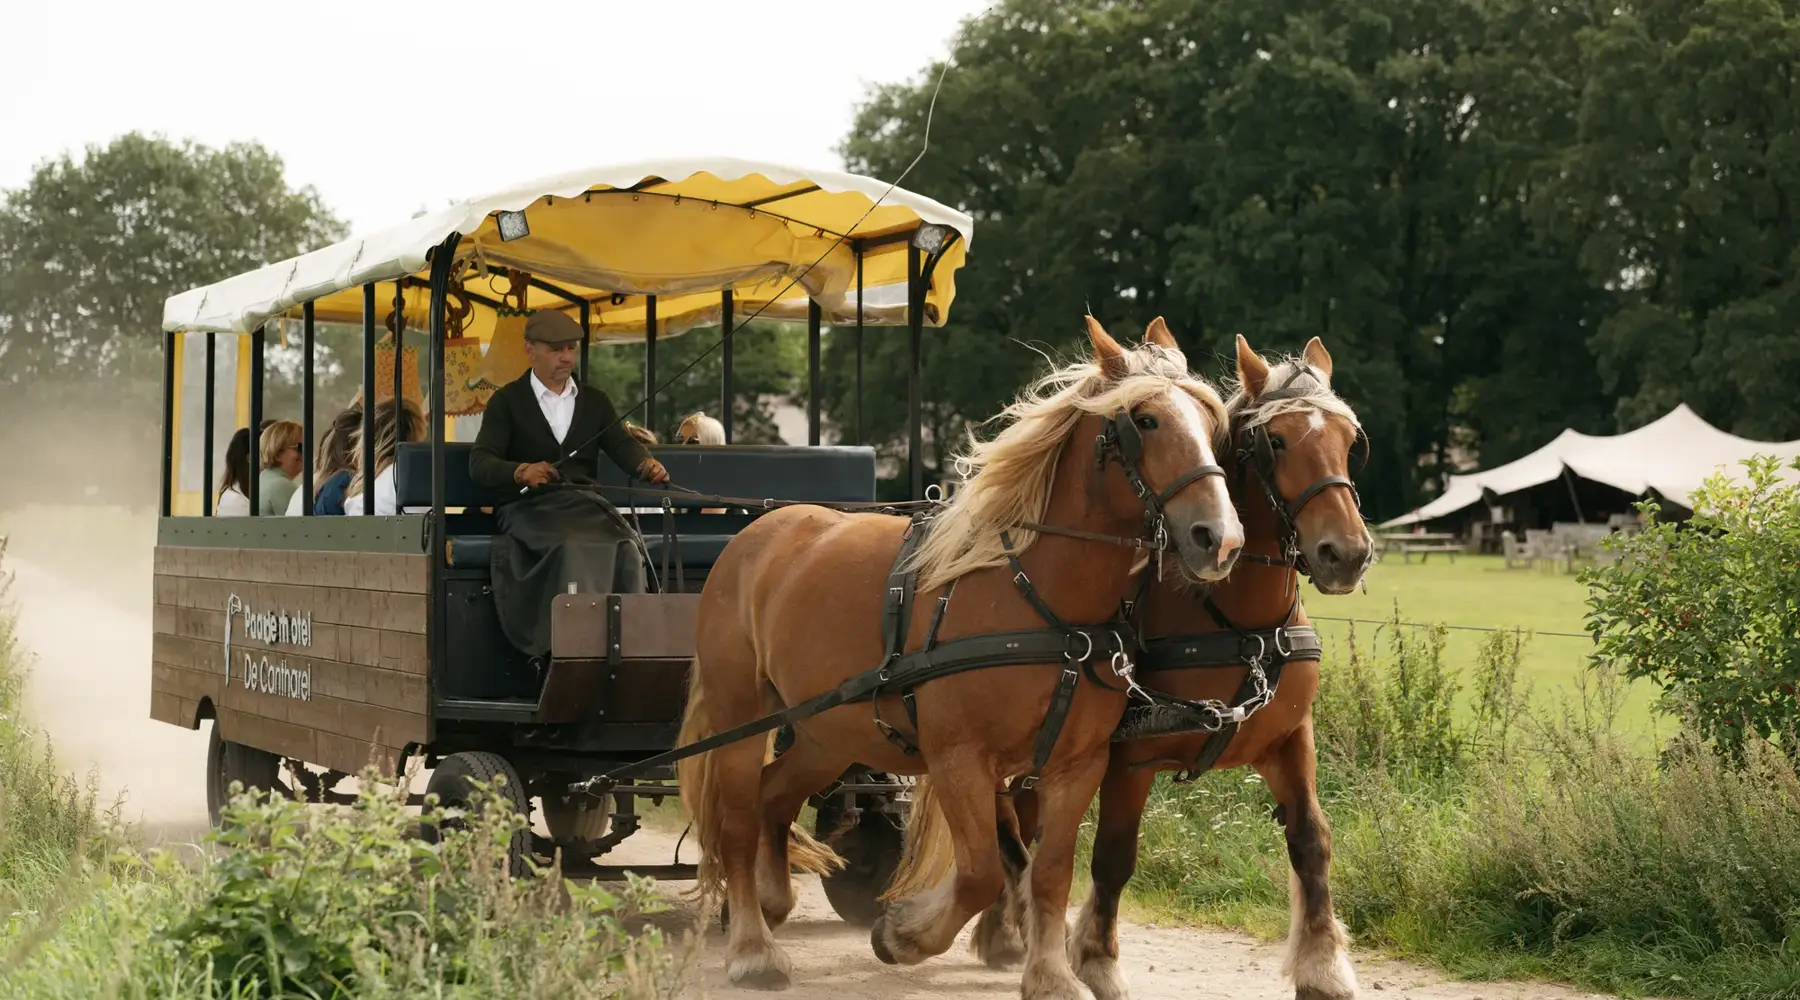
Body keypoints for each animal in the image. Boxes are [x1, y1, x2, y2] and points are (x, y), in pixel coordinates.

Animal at [677, 316, 1245, 998]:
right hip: (740, 716)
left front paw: (1049, 974)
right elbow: (980, 873)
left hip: (825, 732)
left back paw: (770, 900)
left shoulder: (1076, 765)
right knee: (737, 822)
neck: (1045, 600)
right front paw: (904, 937)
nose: (1219, 539)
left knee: (773, 799)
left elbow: (1048, 874)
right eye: (1147, 420)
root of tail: (754, 532)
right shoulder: (959, 760)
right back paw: (752, 948)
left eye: (1212, 423)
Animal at [893, 328, 1374, 1000]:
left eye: (1350, 442)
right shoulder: (1131, 756)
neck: (1238, 625)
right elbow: (1114, 856)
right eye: (1274, 441)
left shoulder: (1289, 739)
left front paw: (1323, 964)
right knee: (1009, 832)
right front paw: (1094, 957)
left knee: (1020, 827)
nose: (1346, 554)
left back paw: (1007, 933)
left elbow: (1310, 838)